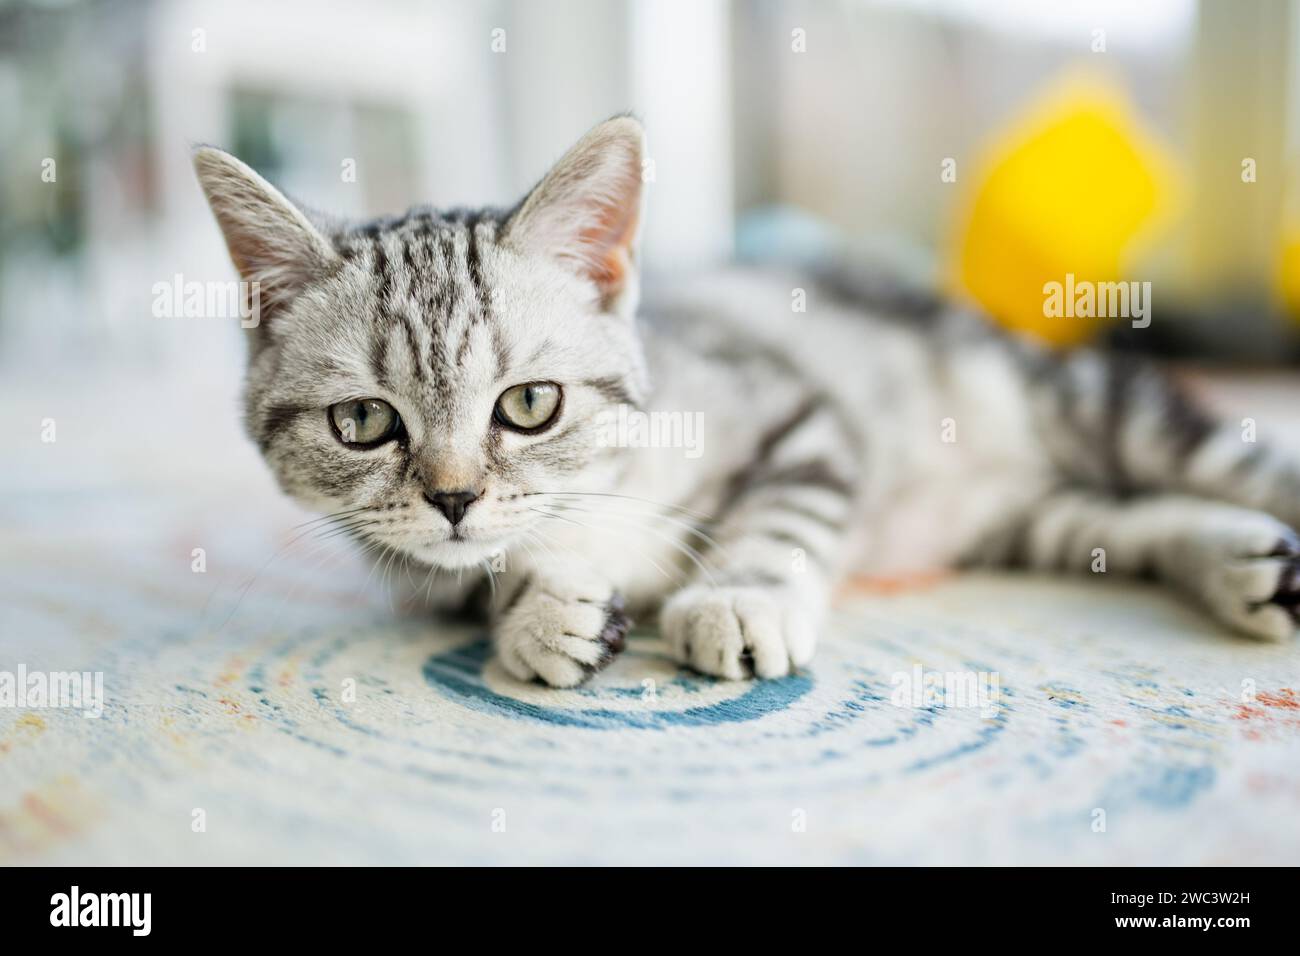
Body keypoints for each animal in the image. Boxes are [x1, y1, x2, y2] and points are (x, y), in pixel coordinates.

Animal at [195, 115, 1300, 686]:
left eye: (530, 404)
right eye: (364, 422)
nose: (455, 498)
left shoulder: (798, 414)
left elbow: (781, 519)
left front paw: (739, 596)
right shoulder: (422, 572)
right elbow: (477, 580)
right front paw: (542, 612)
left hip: (1084, 401)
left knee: (1229, 463)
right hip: (1024, 515)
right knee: (1118, 518)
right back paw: (1244, 567)